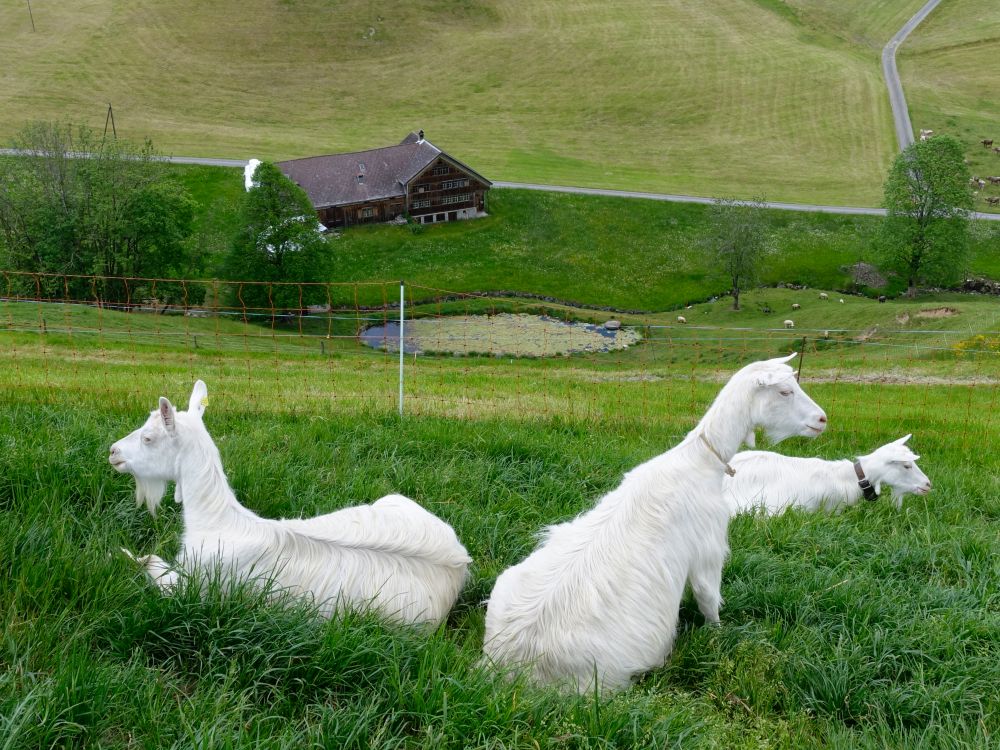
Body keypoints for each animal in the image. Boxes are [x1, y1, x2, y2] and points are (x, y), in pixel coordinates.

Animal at [111, 382, 470, 628]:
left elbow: (147, 562)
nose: (113, 451)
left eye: (148, 438)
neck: (217, 522)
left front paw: (120, 553)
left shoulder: (193, 589)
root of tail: (459, 560)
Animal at [480, 352, 824, 692]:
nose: (822, 419)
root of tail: (512, 664)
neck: (700, 460)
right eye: (785, 391)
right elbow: (709, 598)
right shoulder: (709, 548)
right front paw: (718, 634)